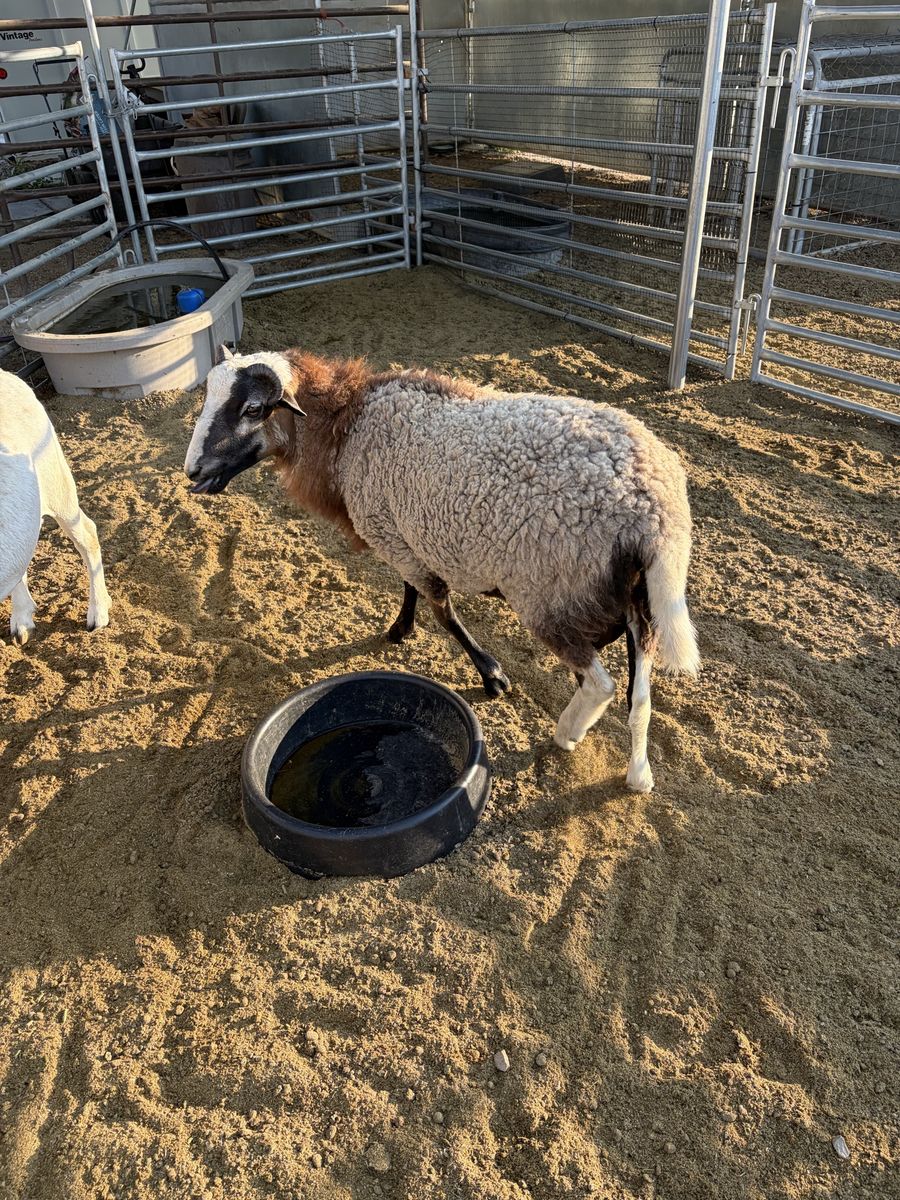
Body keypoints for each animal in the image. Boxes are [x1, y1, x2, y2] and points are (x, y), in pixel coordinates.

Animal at [184, 347, 699, 792]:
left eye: (253, 408)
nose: (192, 472)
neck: (343, 427)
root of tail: (654, 511)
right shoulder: (401, 533)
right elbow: (411, 591)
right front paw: (401, 628)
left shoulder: (391, 533)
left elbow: (442, 611)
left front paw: (491, 675)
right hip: (636, 601)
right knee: (639, 696)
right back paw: (638, 775)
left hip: (548, 593)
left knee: (600, 683)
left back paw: (567, 732)